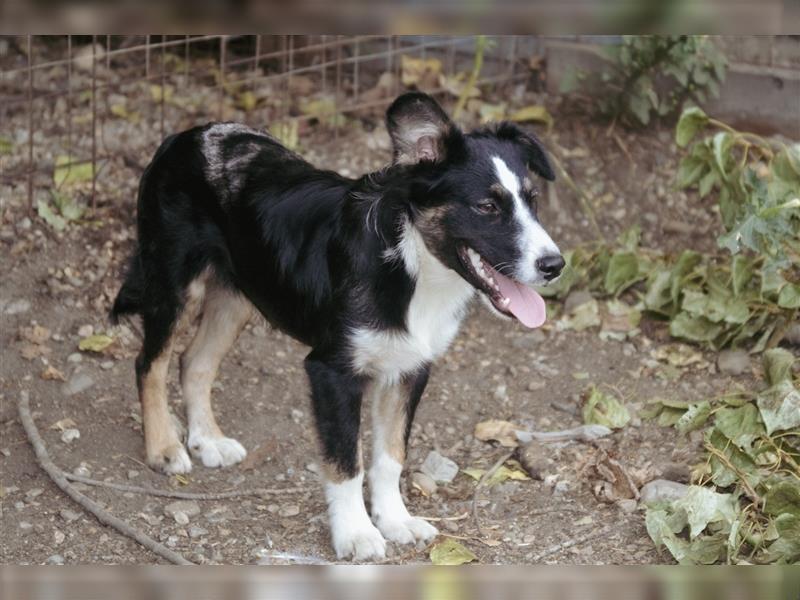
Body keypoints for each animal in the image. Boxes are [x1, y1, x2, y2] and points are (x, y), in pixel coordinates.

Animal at [111, 91, 564, 560]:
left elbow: (390, 456)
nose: (555, 266)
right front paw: (357, 533)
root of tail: (184, 136)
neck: (411, 265)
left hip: (237, 295)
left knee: (195, 361)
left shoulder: (409, 369)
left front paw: (394, 520)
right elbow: (347, 463)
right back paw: (164, 447)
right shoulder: (331, 371)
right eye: (487, 207)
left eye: (533, 200)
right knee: (150, 364)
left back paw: (207, 439)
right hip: (174, 282)